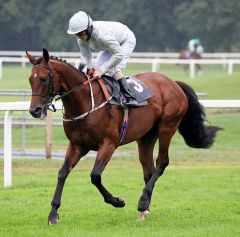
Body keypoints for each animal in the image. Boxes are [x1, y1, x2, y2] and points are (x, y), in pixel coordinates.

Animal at [26, 47, 221, 224]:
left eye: (44, 78)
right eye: (30, 80)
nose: (35, 110)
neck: (86, 102)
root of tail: (173, 82)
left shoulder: (108, 144)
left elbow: (95, 176)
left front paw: (117, 201)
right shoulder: (77, 145)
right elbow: (62, 173)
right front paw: (53, 214)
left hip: (168, 127)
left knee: (162, 162)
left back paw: (142, 203)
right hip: (146, 137)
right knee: (148, 170)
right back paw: (144, 208)